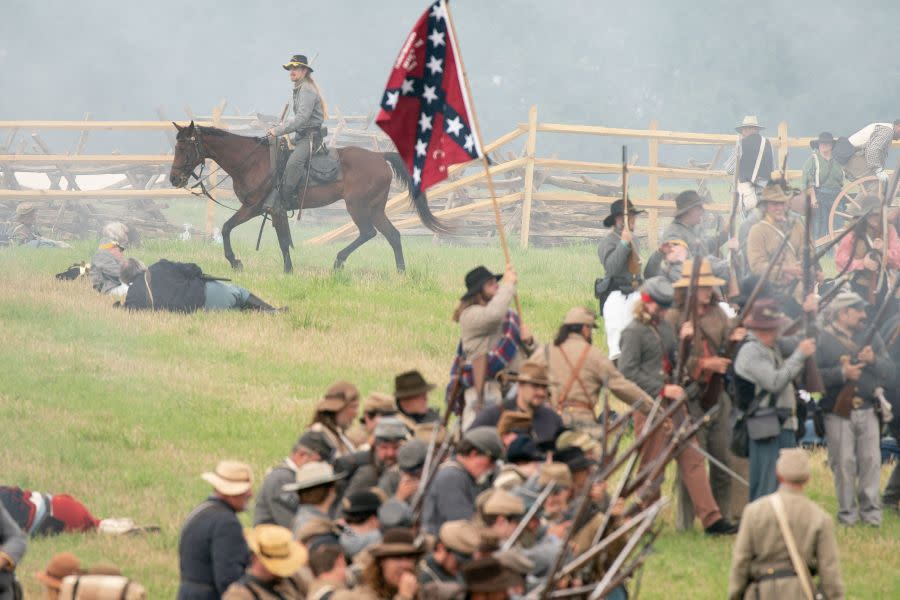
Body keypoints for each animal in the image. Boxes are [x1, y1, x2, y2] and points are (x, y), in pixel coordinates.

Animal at [166, 123, 446, 274]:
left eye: (183, 147)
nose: (174, 179)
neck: (251, 162)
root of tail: (380, 157)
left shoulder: (255, 207)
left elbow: (227, 228)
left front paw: (236, 262)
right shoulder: (272, 211)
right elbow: (282, 240)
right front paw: (288, 269)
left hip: (358, 207)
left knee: (369, 233)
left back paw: (339, 261)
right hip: (376, 209)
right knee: (393, 235)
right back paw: (401, 273)